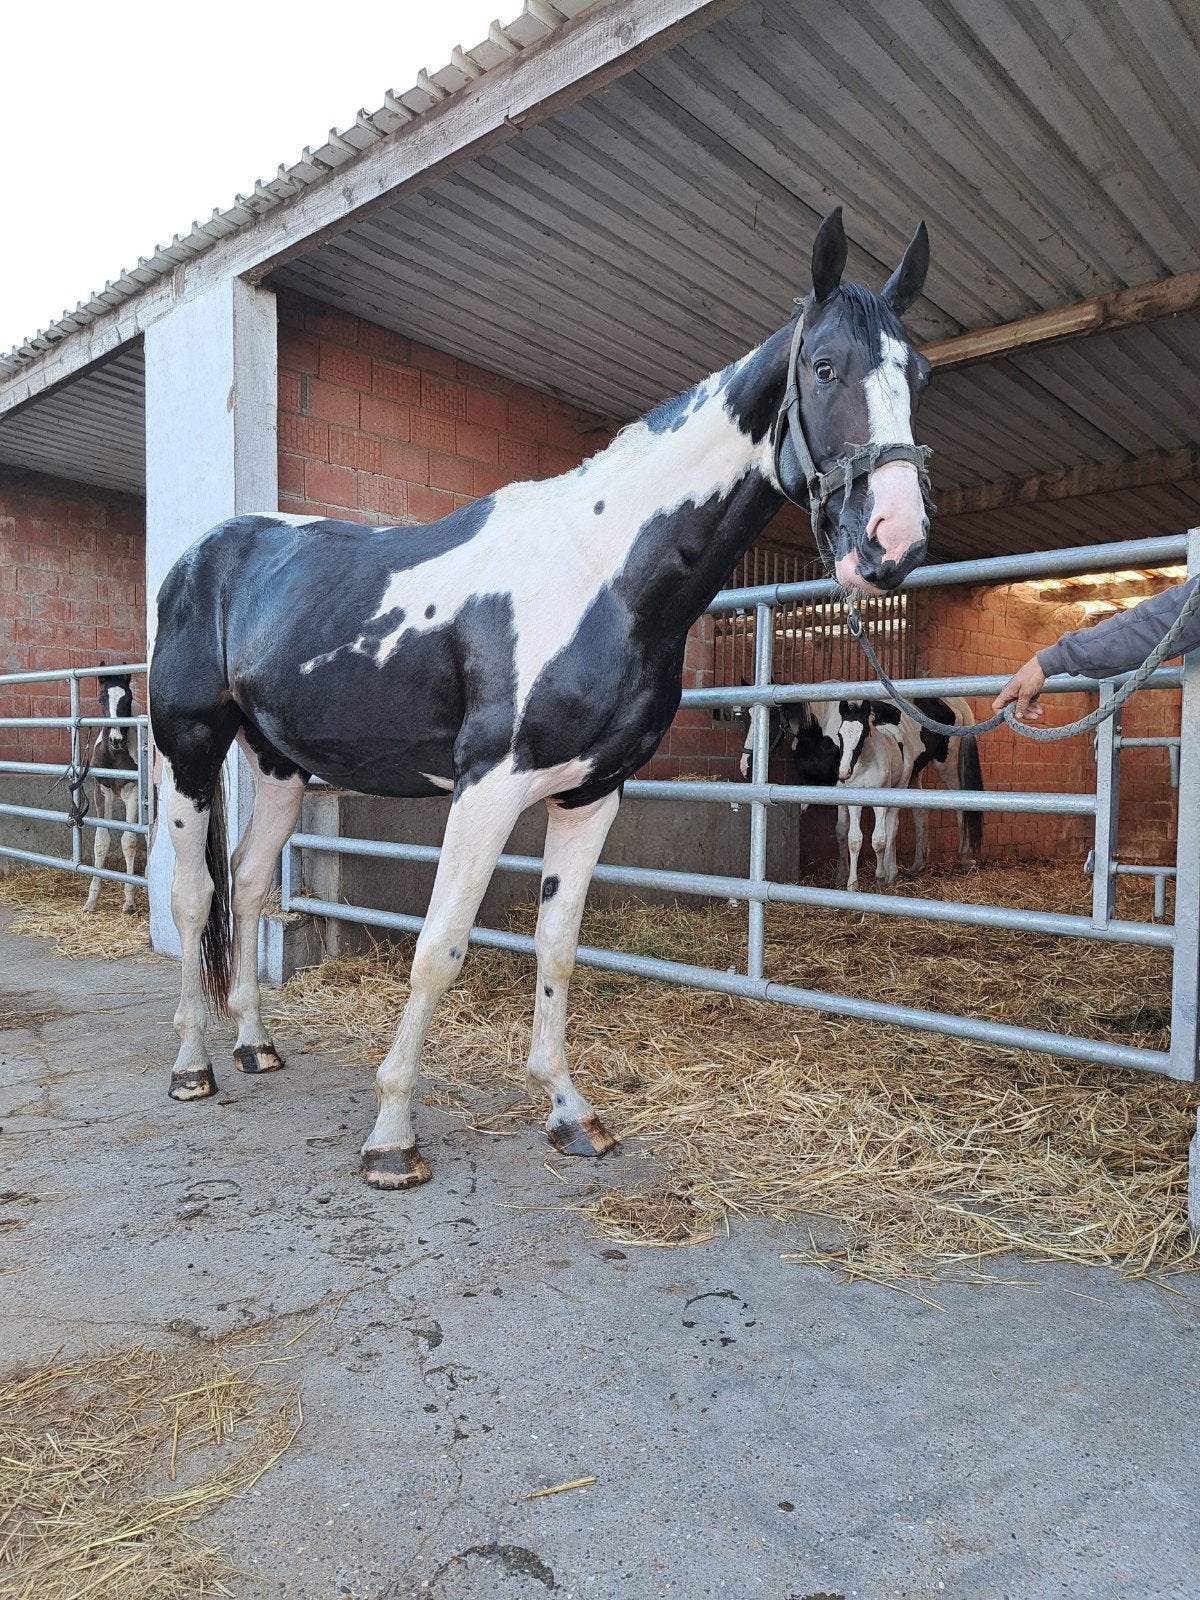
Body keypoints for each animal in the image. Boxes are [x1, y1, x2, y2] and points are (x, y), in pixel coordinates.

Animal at [148, 206, 934, 1191]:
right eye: (825, 366)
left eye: (920, 375)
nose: (894, 541)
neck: (603, 574)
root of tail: (205, 552)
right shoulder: (487, 789)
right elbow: (440, 947)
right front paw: (392, 1138)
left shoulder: (590, 794)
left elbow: (557, 943)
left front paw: (570, 1113)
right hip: (188, 749)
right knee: (192, 898)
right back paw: (193, 1066)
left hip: (280, 765)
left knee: (249, 884)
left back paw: (256, 1047)